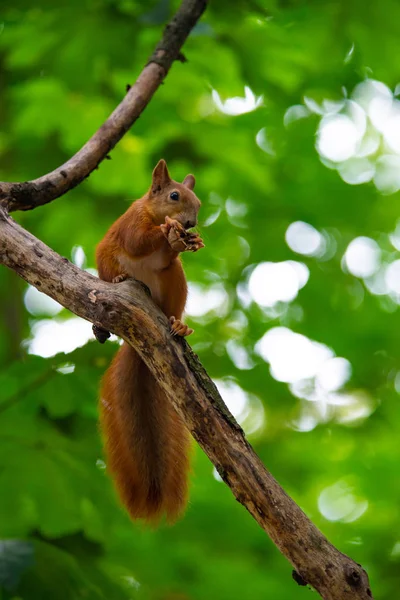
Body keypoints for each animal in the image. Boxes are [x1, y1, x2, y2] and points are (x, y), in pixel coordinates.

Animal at [95, 161, 205, 524]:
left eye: (199, 203)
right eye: (174, 196)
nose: (190, 223)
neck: (152, 212)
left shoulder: (167, 261)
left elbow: (165, 254)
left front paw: (182, 239)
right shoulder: (132, 223)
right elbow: (138, 241)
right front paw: (169, 230)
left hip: (174, 280)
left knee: (172, 289)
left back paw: (178, 324)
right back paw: (117, 279)